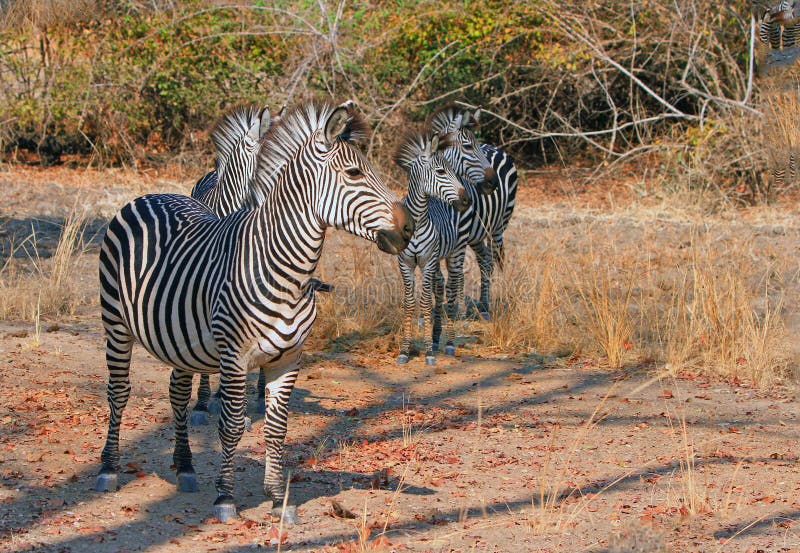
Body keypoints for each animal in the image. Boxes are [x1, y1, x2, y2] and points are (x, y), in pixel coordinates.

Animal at [97, 100, 416, 520]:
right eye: (354, 173)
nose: (410, 228)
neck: (284, 270)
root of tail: (150, 195)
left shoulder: (290, 357)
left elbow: (277, 427)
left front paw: (277, 497)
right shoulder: (234, 356)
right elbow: (232, 425)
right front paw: (226, 497)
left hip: (178, 337)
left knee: (177, 393)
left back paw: (185, 467)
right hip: (115, 324)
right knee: (118, 391)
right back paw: (109, 469)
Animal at [394, 131, 468, 364]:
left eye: (451, 170)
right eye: (441, 171)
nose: (466, 200)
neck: (417, 221)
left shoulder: (426, 262)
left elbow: (425, 302)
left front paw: (427, 351)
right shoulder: (406, 263)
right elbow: (409, 302)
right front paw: (405, 350)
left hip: (456, 252)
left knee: (452, 289)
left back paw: (449, 343)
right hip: (437, 259)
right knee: (440, 286)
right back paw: (436, 338)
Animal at [432, 104, 520, 320]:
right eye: (468, 147)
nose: (493, 182)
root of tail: (495, 148)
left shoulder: (460, 238)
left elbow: (456, 273)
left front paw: (458, 310)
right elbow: (438, 276)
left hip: (498, 227)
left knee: (491, 261)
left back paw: (485, 304)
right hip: (477, 235)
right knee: (484, 259)